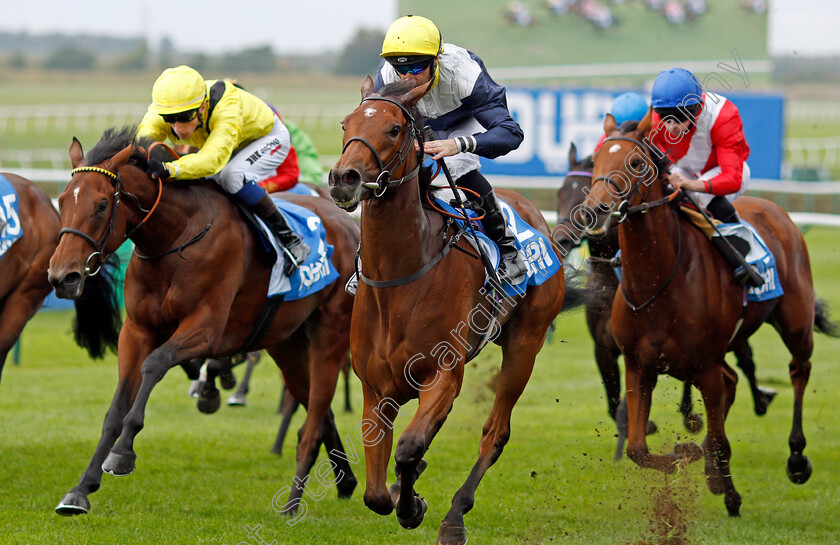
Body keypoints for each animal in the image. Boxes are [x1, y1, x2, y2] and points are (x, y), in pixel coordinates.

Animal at [47, 126, 360, 516]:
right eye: (62, 201)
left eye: (102, 204)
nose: (63, 277)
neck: (175, 238)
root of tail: (348, 223)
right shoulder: (136, 331)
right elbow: (116, 408)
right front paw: (80, 490)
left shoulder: (206, 328)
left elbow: (156, 364)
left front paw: (122, 453)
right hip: (288, 344)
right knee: (320, 409)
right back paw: (345, 481)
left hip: (329, 336)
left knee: (316, 415)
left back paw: (294, 502)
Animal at [328, 77, 564, 544]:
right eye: (346, 123)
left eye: (395, 128)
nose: (344, 177)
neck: (401, 277)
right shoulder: (375, 389)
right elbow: (375, 490)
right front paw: (402, 494)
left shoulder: (442, 375)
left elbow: (408, 447)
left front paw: (413, 507)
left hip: (526, 343)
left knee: (495, 433)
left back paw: (455, 517)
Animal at [556, 144, 776, 460]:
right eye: (560, 193)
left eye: (579, 192)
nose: (561, 239)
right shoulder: (605, 348)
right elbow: (614, 403)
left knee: (745, 359)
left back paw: (756, 400)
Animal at [580, 115, 836, 516]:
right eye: (594, 160)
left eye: (635, 162)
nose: (597, 211)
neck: (659, 283)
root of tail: (776, 210)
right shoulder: (639, 366)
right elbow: (638, 449)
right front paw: (686, 456)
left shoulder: (704, 367)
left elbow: (719, 440)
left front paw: (730, 494)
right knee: (734, 380)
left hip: (795, 324)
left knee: (798, 371)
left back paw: (796, 458)